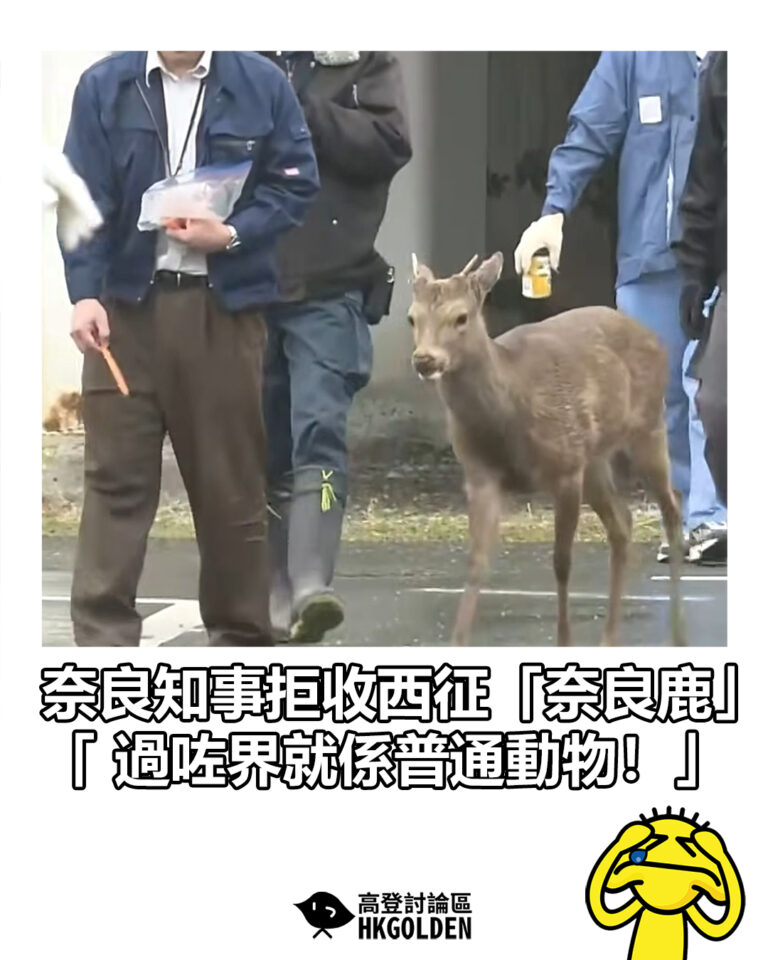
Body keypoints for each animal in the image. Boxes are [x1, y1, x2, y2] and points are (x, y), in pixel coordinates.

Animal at [407, 251, 685, 647]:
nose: (425, 359)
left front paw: (564, 640)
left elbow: (561, 562)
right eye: (412, 317)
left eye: (461, 317)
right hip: (594, 458)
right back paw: (609, 638)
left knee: (671, 508)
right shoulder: (480, 475)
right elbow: (476, 562)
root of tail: (654, 338)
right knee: (622, 523)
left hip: (647, 425)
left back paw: (678, 635)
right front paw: (458, 641)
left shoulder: (565, 470)